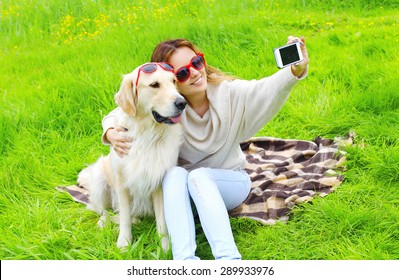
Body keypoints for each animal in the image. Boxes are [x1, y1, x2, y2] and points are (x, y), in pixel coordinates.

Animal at [77, 62, 188, 250]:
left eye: (174, 81)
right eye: (154, 85)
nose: (183, 102)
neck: (148, 135)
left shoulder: (158, 182)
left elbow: (162, 221)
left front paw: (165, 247)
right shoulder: (122, 184)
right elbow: (124, 218)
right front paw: (124, 243)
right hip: (100, 180)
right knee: (101, 209)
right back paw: (103, 222)